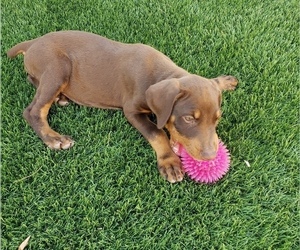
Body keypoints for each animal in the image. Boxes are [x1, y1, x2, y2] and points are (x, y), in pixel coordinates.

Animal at [6, 30, 237, 184]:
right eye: (189, 118)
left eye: (217, 119)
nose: (210, 157)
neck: (161, 74)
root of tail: (34, 42)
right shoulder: (132, 110)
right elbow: (156, 132)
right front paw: (169, 162)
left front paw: (224, 81)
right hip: (57, 67)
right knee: (33, 110)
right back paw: (54, 138)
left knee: (31, 79)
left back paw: (60, 98)